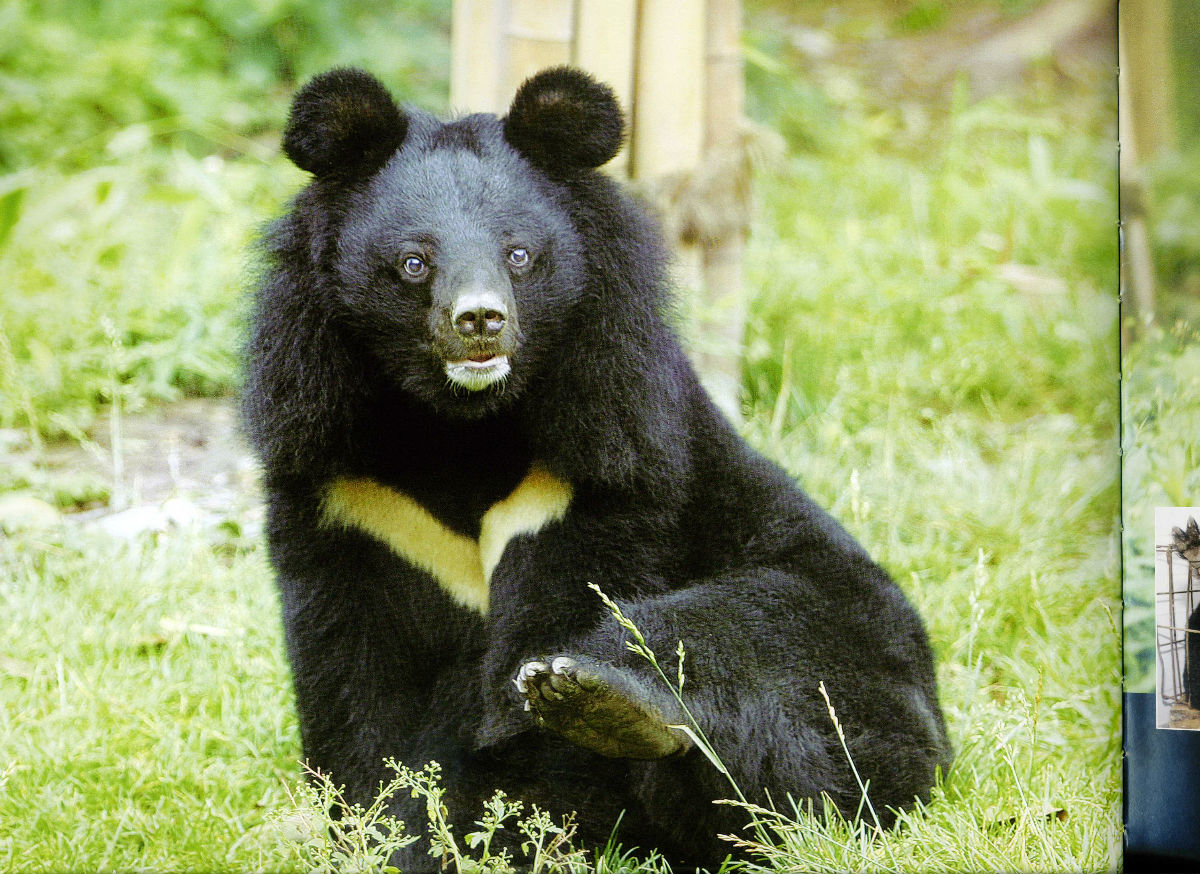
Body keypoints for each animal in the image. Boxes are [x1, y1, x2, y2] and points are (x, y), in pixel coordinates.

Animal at [242, 65, 952, 871]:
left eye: (520, 255)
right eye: (414, 263)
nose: (480, 320)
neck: (462, 426)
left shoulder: (599, 465)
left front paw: (512, 781)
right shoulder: (349, 493)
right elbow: (357, 685)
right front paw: (390, 833)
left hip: (859, 657)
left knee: (757, 640)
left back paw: (599, 702)